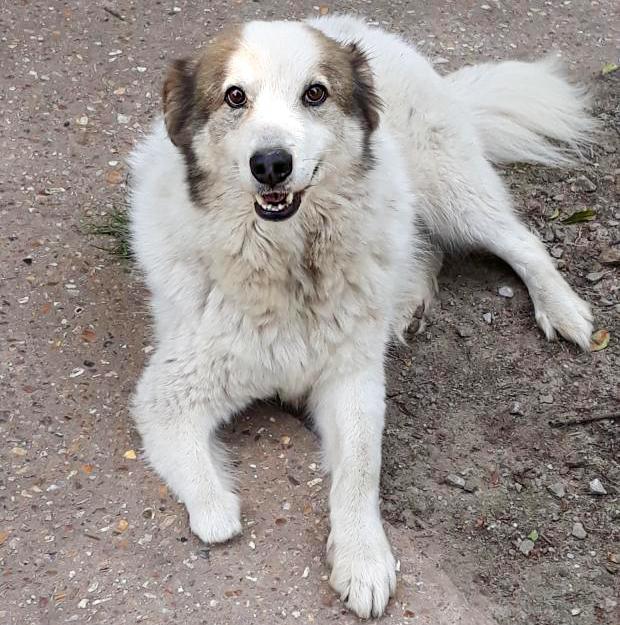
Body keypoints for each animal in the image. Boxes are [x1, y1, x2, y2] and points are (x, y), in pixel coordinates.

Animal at [130, 15, 596, 620]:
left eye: (315, 94)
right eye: (235, 97)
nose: (271, 164)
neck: (291, 263)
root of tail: (362, 27)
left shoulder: (351, 381)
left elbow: (359, 468)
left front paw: (363, 559)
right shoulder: (167, 395)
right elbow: (203, 492)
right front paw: (219, 510)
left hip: (450, 189)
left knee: (521, 241)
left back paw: (562, 309)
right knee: (426, 248)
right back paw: (407, 301)